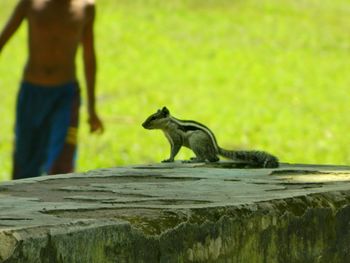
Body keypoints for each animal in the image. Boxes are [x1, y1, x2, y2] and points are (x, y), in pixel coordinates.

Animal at [142, 106, 278, 168]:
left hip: (195, 141)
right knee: (213, 159)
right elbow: (171, 149)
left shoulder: (176, 138)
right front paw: (168, 158)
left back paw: (194, 160)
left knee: (205, 158)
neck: (167, 126)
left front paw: (169, 159)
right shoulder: (170, 139)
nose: (142, 125)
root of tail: (215, 148)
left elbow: (175, 149)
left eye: (154, 117)